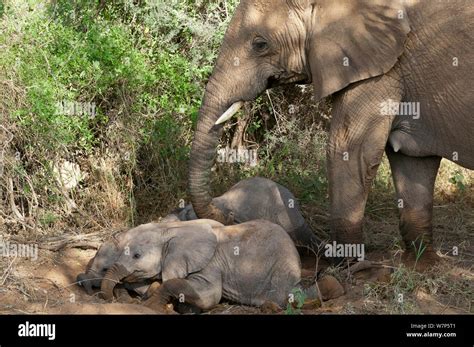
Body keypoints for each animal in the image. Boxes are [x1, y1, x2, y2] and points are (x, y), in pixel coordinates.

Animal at [101, 220, 318, 312]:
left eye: (136, 255)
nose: (110, 299)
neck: (169, 231)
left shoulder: (210, 264)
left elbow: (209, 296)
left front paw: (151, 305)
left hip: (280, 271)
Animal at [187, 0, 472, 270]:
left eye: (260, 44)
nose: (230, 217)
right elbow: (413, 161)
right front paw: (421, 265)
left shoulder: (382, 69)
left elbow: (349, 150)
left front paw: (348, 265)